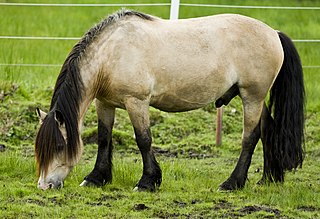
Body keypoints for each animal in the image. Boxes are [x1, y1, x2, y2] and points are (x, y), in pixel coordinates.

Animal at [35, 9, 304, 190]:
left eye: (59, 146)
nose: (44, 186)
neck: (112, 52)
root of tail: (274, 33)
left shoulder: (136, 102)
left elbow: (143, 140)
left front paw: (147, 182)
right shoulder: (105, 103)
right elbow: (103, 139)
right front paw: (96, 178)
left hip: (252, 96)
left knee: (250, 137)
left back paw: (232, 183)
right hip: (254, 98)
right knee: (267, 129)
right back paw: (268, 179)